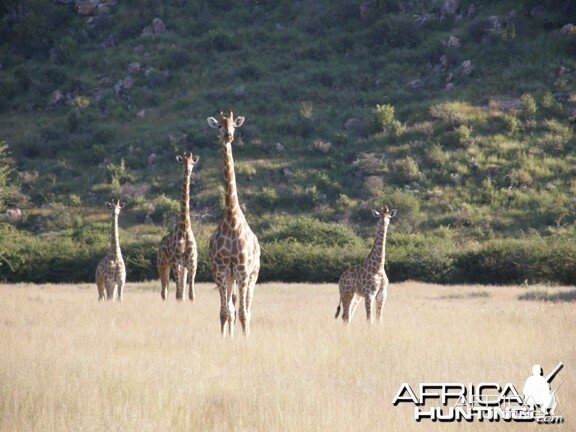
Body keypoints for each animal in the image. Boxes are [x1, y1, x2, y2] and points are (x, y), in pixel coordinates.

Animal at [158, 151, 200, 300]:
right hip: (163, 264)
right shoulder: (177, 263)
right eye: (182, 162)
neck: (185, 228)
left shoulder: (192, 263)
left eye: (192, 163)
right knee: (164, 291)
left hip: (182, 268)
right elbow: (178, 294)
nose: (188, 171)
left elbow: (191, 294)